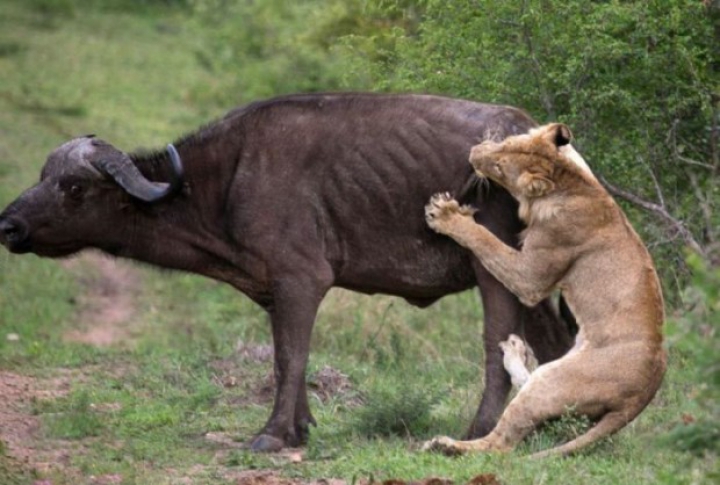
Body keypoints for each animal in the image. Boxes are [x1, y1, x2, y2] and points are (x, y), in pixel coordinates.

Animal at [0, 91, 572, 450]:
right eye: (43, 175)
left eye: (74, 188)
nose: (8, 225)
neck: (224, 181)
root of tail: (530, 132)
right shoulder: (277, 291)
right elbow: (285, 357)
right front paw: (301, 427)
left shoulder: (301, 281)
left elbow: (292, 356)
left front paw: (274, 434)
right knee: (557, 339)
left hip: (495, 271)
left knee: (498, 342)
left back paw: (480, 429)